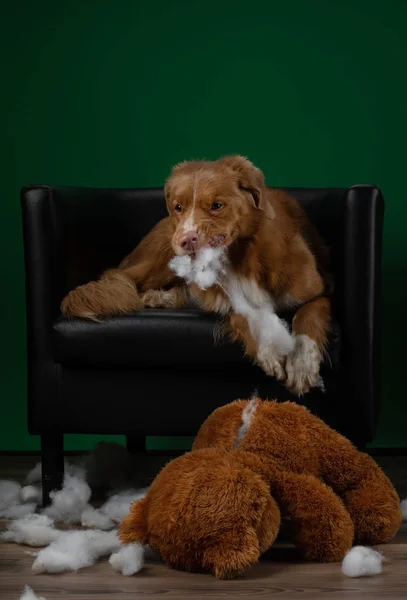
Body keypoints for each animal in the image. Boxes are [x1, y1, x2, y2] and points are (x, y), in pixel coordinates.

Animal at [62, 157, 334, 396]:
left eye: (216, 206)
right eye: (178, 207)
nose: (186, 240)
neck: (241, 259)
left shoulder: (320, 292)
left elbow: (308, 315)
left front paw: (302, 365)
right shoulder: (224, 300)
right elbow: (241, 315)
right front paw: (268, 350)